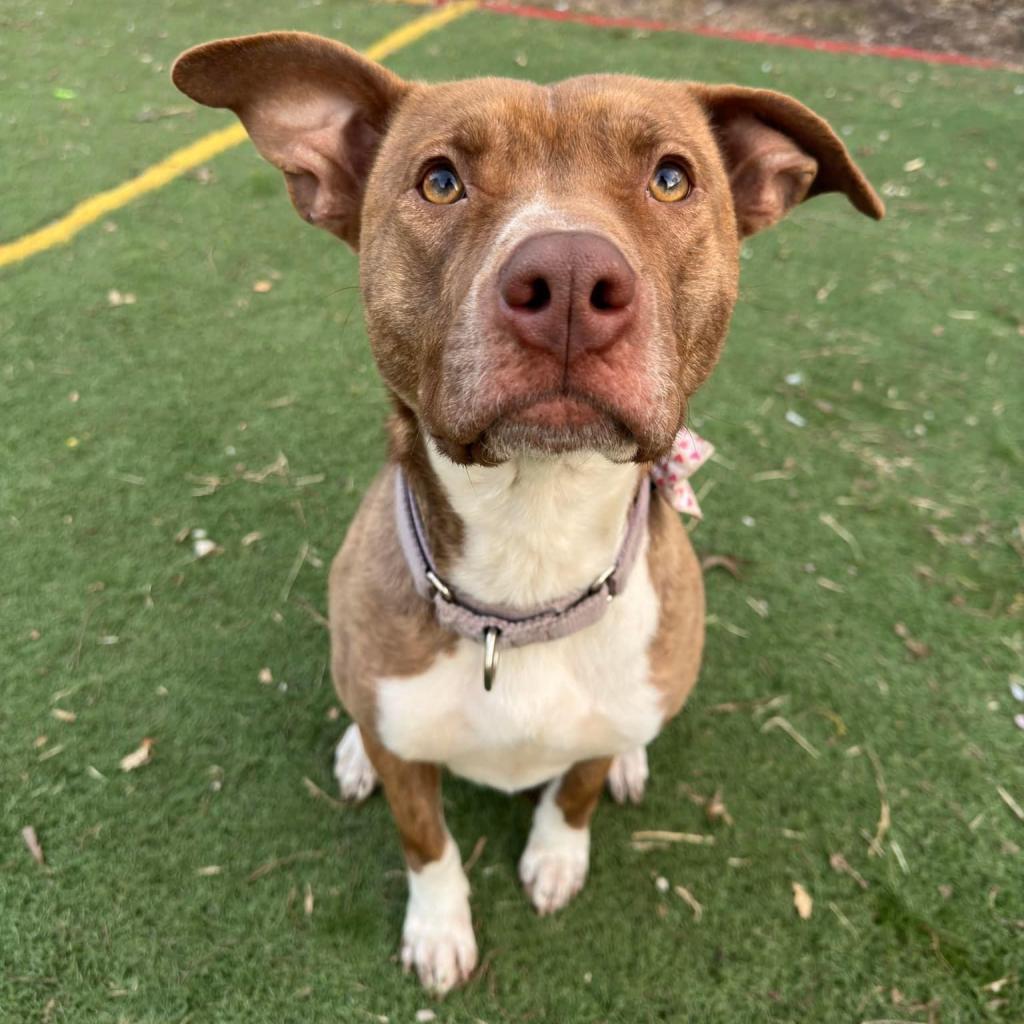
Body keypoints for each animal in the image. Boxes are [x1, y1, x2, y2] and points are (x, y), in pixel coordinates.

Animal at [172, 32, 884, 991]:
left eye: (672, 178)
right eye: (440, 181)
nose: (573, 278)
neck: (530, 559)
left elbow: (574, 787)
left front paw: (556, 854)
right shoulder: (411, 760)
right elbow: (425, 839)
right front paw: (439, 928)